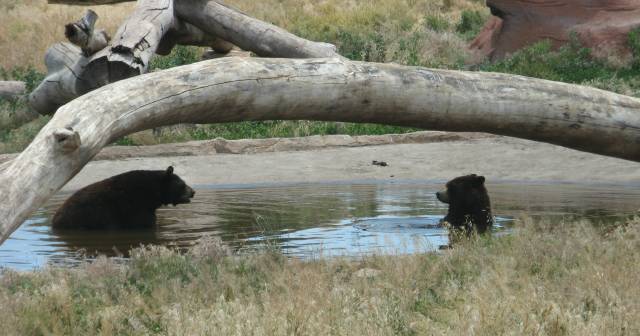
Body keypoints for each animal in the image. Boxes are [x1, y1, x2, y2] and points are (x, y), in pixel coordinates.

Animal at [52, 167, 195, 230]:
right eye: (182, 184)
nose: (193, 192)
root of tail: (54, 220)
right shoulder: (134, 206)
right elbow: (145, 222)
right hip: (85, 218)